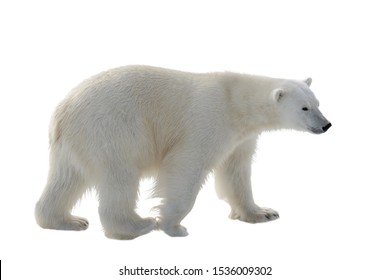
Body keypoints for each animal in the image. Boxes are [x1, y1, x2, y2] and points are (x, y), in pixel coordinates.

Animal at [35, 65, 330, 238]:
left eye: (318, 103)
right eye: (304, 108)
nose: (326, 125)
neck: (236, 101)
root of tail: (62, 110)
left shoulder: (241, 137)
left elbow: (236, 171)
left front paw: (262, 213)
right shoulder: (208, 121)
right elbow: (186, 167)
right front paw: (172, 225)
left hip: (75, 143)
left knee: (66, 179)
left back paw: (67, 221)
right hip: (113, 130)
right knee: (119, 178)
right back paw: (138, 225)